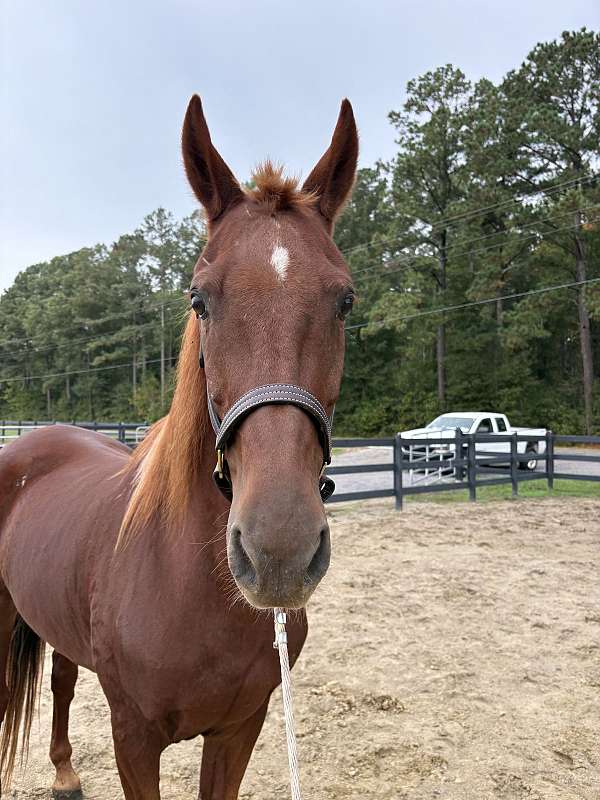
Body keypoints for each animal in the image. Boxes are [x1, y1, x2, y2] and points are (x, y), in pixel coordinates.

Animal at [0, 95, 358, 799]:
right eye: (200, 299)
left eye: (344, 300)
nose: (278, 550)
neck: (185, 584)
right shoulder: (134, 738)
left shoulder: (239, 730)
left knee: (61, 679)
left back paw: (64, 772)